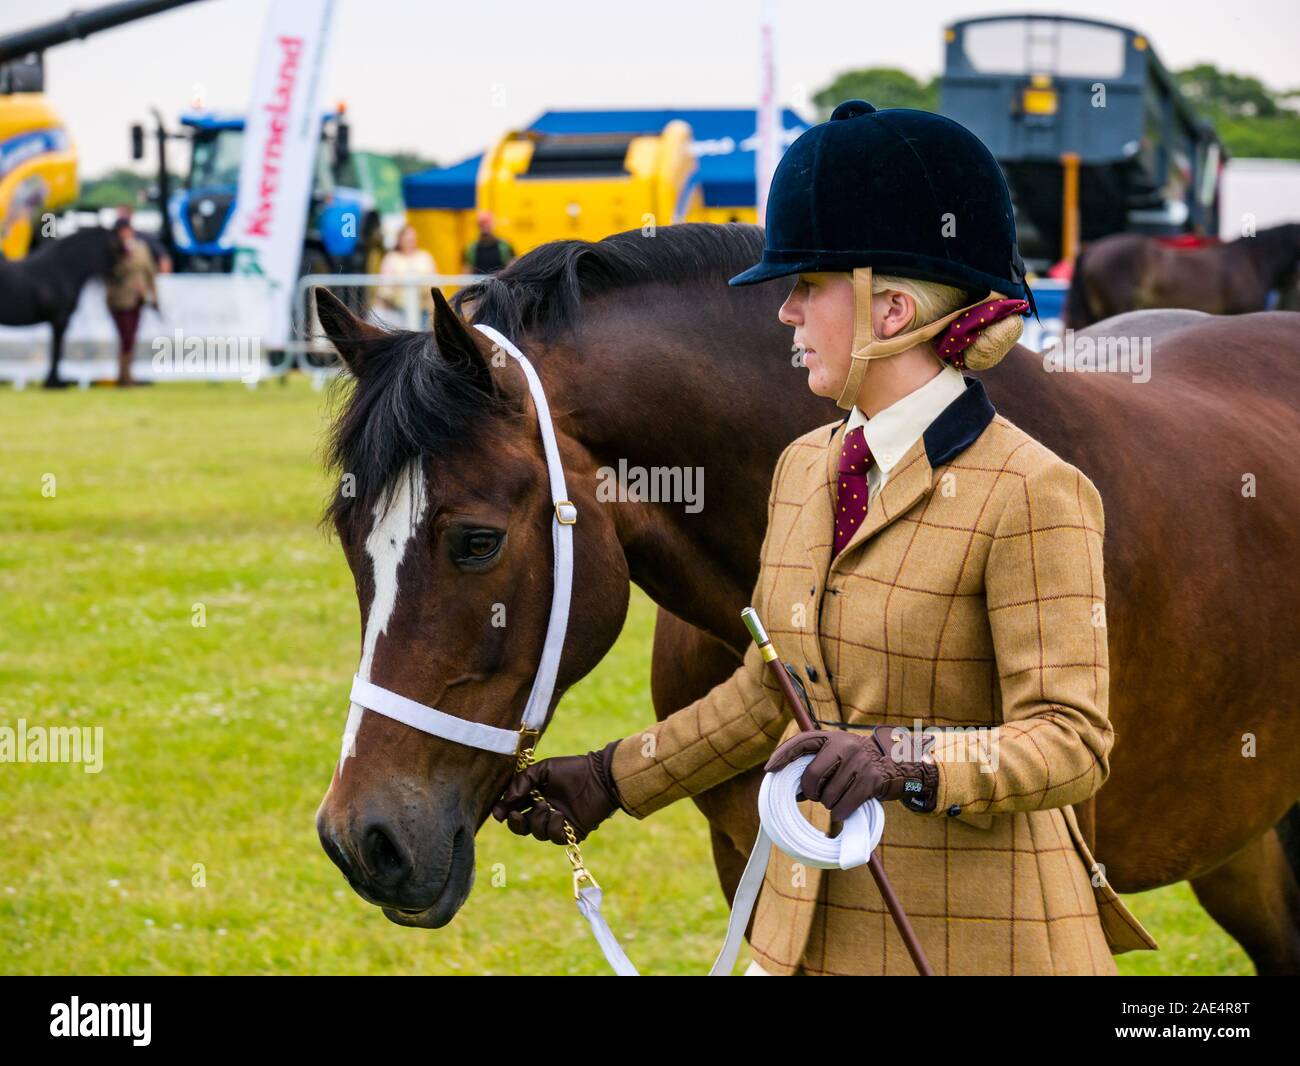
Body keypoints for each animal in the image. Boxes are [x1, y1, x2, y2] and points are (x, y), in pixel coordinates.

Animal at [0, 224, 124, 387]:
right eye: (117, 248)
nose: (121, 278)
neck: (64, 269)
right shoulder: (60, 319)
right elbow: (57, 350)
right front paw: (54, 382)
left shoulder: (58, 321)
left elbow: (56, 348)